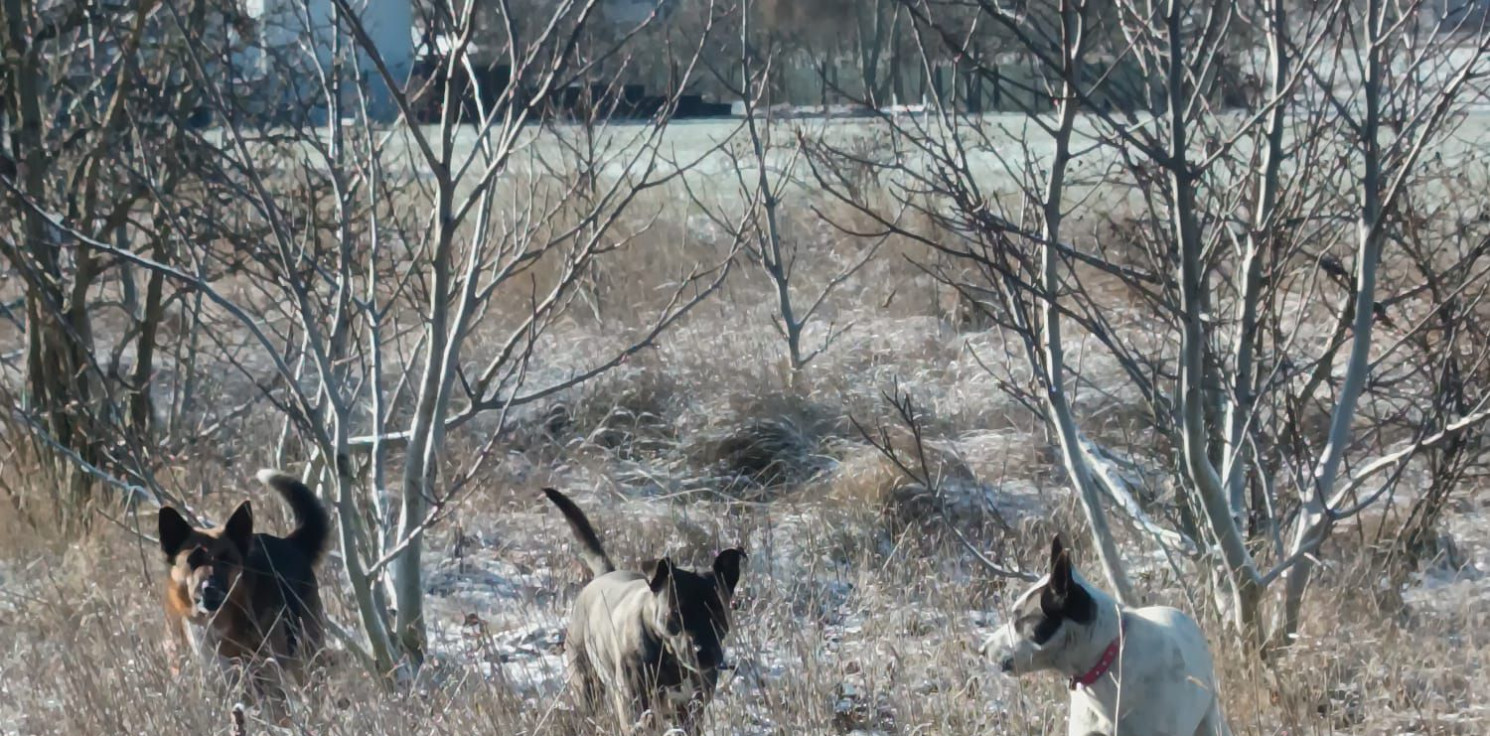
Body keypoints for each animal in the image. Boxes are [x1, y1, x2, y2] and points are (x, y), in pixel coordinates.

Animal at [158, 467, 330, 709]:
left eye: (226, 559)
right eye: (193, 559)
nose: (209, 588)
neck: (218, 624)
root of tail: (290, 542)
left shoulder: (265, 676)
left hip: (304, 653)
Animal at [542, 488, 745, 730]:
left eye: (718, 611)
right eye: (675, 613)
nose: (703, 653)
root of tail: (603, 575)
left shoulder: (691, 710)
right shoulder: (635, 708)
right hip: (585, 683)